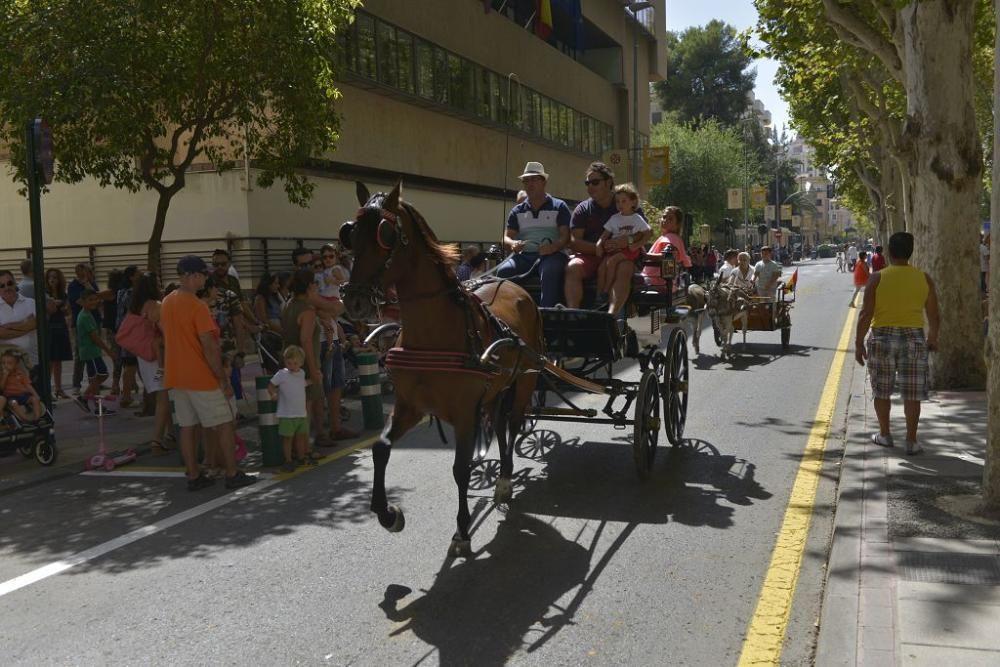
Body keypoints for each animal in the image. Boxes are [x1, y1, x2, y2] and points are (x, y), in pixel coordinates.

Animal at [338, 179, 544, 560]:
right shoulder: (409, 406)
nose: (354, 299)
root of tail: (516, 285)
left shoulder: (464, 413)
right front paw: (388, 514)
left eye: (385, 234)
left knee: (513, 423)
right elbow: (380, 449)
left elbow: (460, 469)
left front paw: (462, 532)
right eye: (350, 233)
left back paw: (505, 480)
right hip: (496, 389)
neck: (433, 334)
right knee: (500, 424)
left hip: (525, 381)